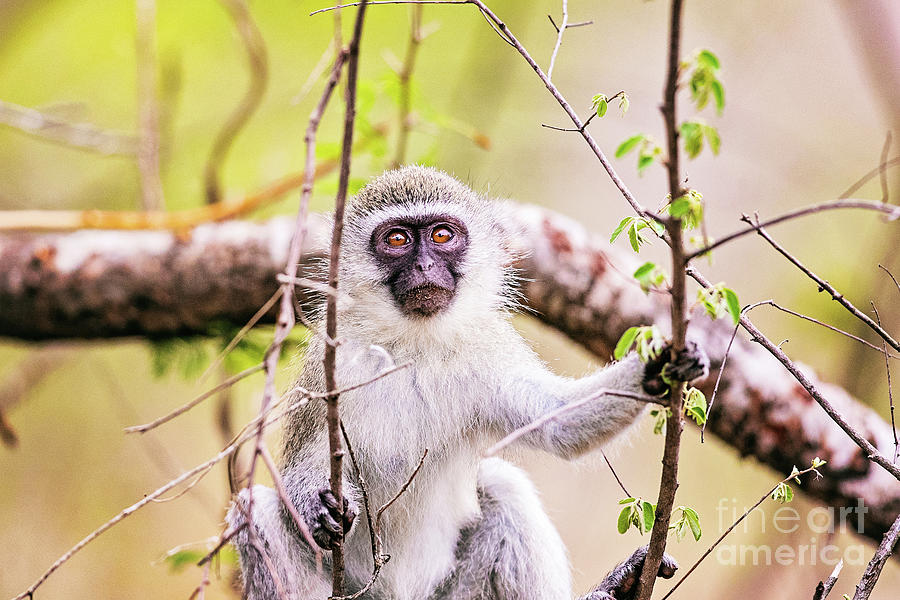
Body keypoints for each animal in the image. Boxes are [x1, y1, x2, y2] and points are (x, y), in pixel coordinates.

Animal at [232, 165, 712, 600]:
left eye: (442, 236)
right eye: (397, 240)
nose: (425, 265)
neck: (415, 345)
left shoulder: (488, 352)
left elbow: (557, 421)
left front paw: (659, 368)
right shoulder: (330, 364)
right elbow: (302, 463)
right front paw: (318, 505)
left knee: (503, 488)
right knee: (253, 511)